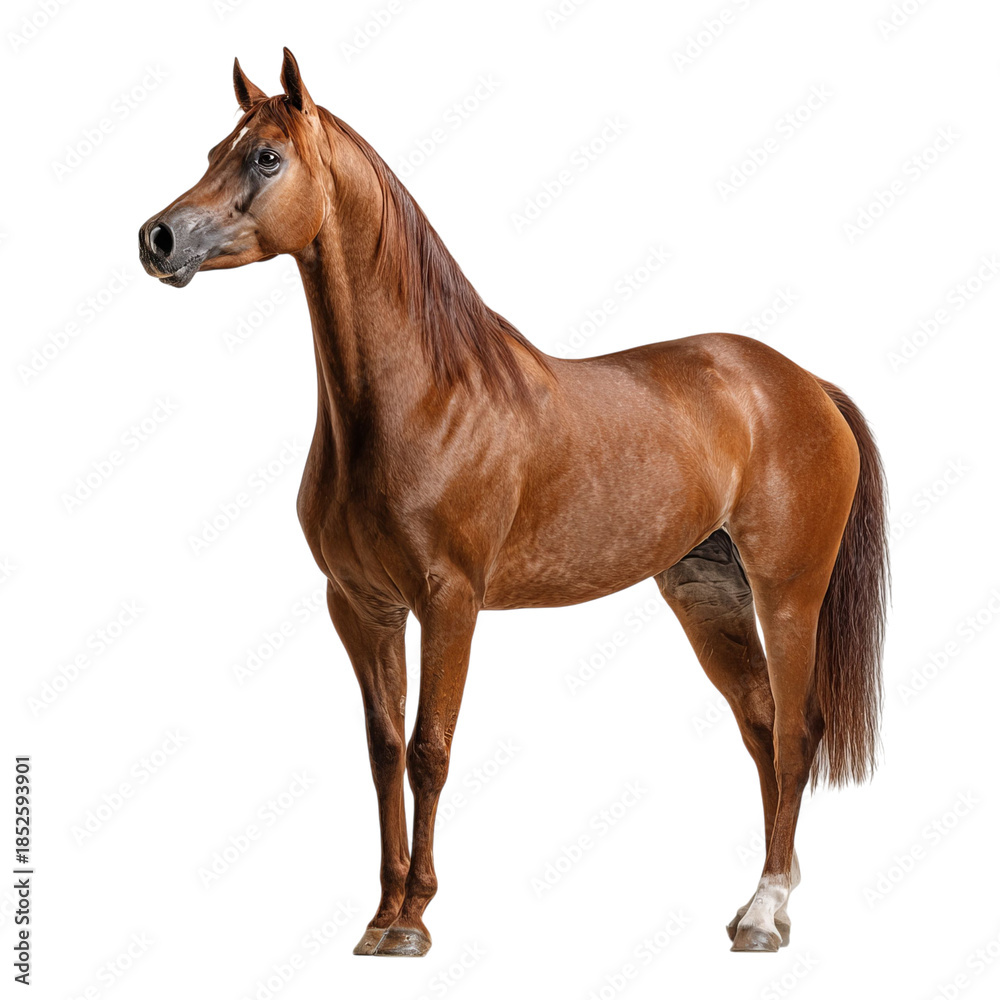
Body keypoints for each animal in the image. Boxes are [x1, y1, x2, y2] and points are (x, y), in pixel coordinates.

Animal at [139, 49, 888, 957]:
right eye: (216, 149)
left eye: (265, 157)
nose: (158, 238)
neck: (425, 396)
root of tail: (805, 383)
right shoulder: (361, 605)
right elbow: (382, 751)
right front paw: (379, 916)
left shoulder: (449, 600)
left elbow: (429, 749)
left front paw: (413, 922)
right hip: (705, 594)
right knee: (761, 729)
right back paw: (756, 902)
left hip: (788, 593)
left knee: (796, 732)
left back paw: (767, 913)